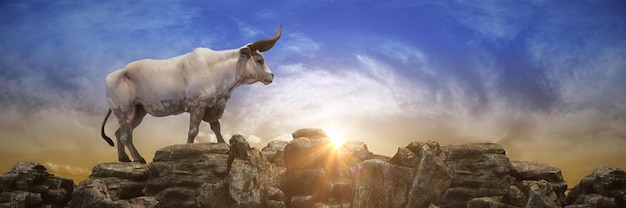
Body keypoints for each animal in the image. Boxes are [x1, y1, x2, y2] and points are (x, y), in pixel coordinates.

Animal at [99, 25, 280, 163]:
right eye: (259, 60)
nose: (271, 76)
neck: (217, 70)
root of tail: (113, 75)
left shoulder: (211, 106)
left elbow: (216, 127)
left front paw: (224, 145)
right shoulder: (197, 106)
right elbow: (193, 131)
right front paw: (187, 150)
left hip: (138, 112)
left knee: (120, 133)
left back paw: (124, 158)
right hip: (125, 111)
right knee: (125, 136)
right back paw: (139, 158)